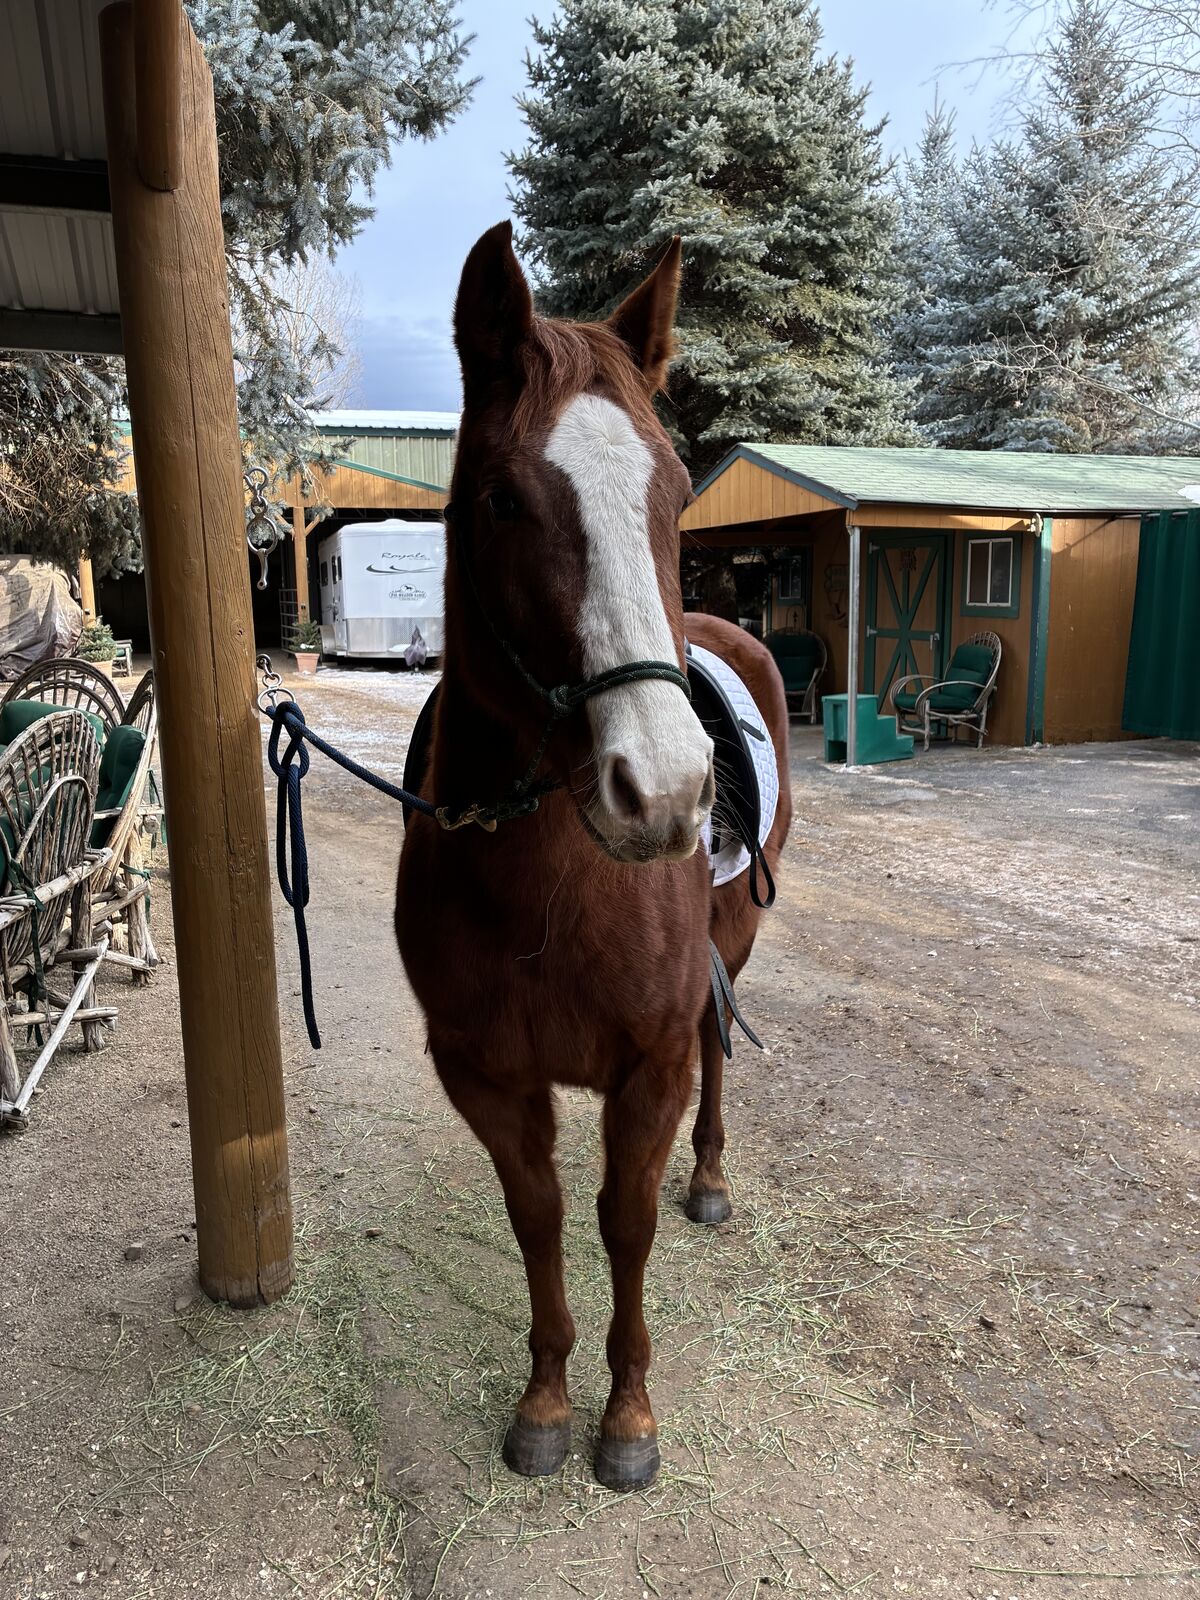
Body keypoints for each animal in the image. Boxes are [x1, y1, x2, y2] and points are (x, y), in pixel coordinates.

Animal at [395, 221, 791, 1492]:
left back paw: (710, 1177)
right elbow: (541, 1217)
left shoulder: (648, 1064)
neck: (545, 891)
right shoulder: (486, 1073)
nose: (662, 792)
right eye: (504, 499)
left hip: (729, 955)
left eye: (672, 491)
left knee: (719, 1050)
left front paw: (627, 1414)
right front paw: (547, 1398)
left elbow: (627, 1219)